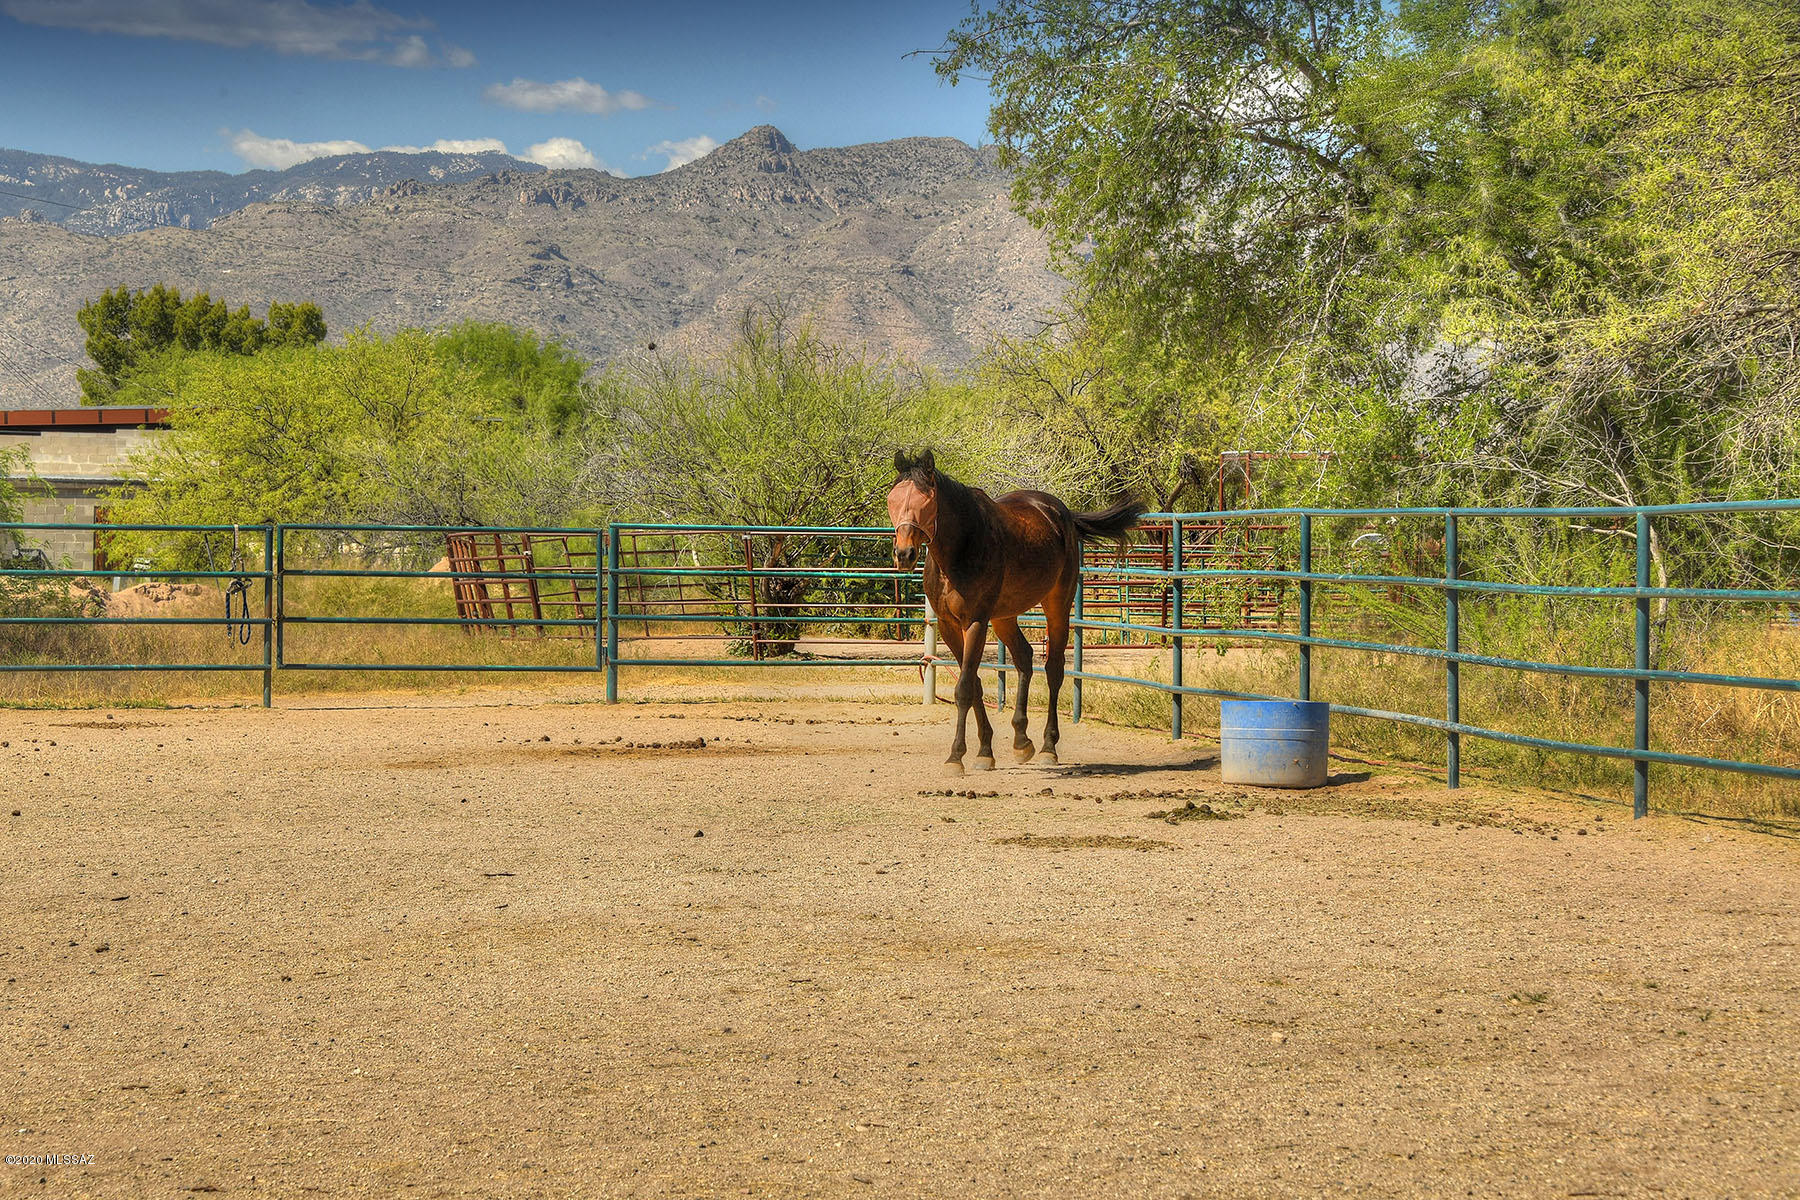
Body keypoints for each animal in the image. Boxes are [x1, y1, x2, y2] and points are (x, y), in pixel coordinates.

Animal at [888, 449, 1144, 775]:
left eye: (926, 501)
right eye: (893, 499)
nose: (904, 554)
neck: (959, 549)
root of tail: (1061, 513)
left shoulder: (975, 622)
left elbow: (964, 688)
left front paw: (956, 757)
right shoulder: (948, 625)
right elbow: (975, 686)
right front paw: (985, 752)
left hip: (1056, 604)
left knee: (1054, 669)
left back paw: (1048, 747)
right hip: (1004, 617)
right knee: (1024, 658)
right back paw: (1022, 740)